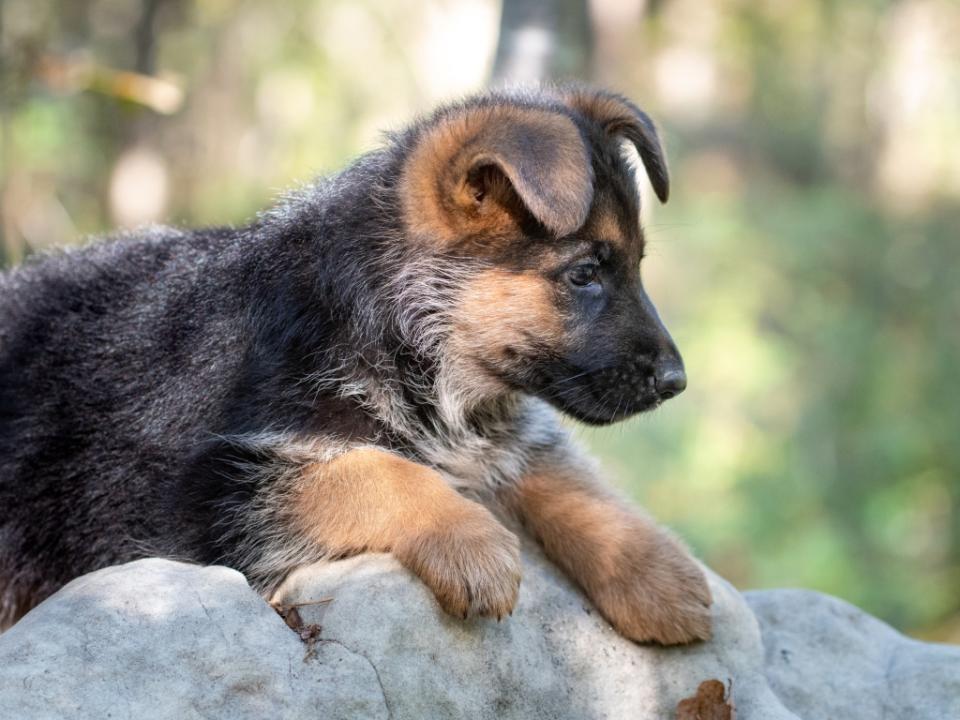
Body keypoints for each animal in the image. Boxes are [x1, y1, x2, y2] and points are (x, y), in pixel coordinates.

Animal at [1, 87, 712, 644]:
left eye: (636, 266)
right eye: (585, 273)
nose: (677, 383)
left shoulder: (504, 430)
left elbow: (562, 475)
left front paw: (650, 567)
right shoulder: (203, 502)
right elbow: (366, 469)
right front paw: (469, 538)